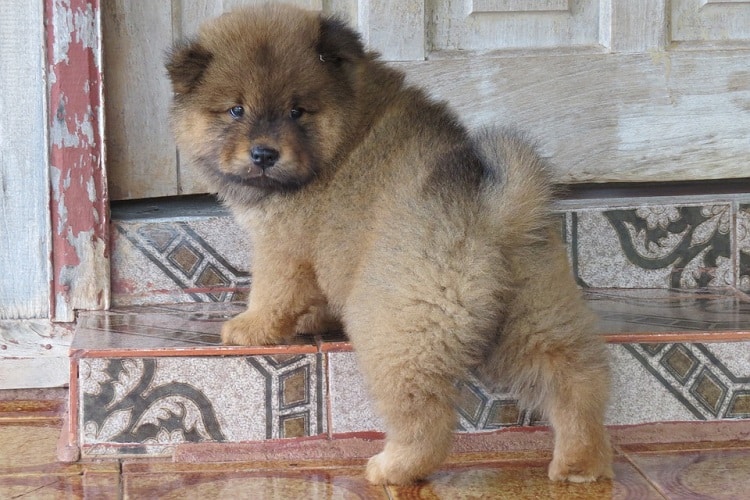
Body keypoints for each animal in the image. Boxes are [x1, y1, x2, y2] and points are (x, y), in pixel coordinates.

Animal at [167, 3, 612, 484]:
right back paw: (580, 462)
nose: (264, 154)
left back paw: (392, 467)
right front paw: (312, 319)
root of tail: (495, 214)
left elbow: (272, 294)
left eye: (297, 111)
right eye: (235, 110)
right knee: (575, 381)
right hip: (536, 315)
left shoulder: (283, 246)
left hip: (396, 326)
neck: (341, 136)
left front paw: (250, 327)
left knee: (426, 415)